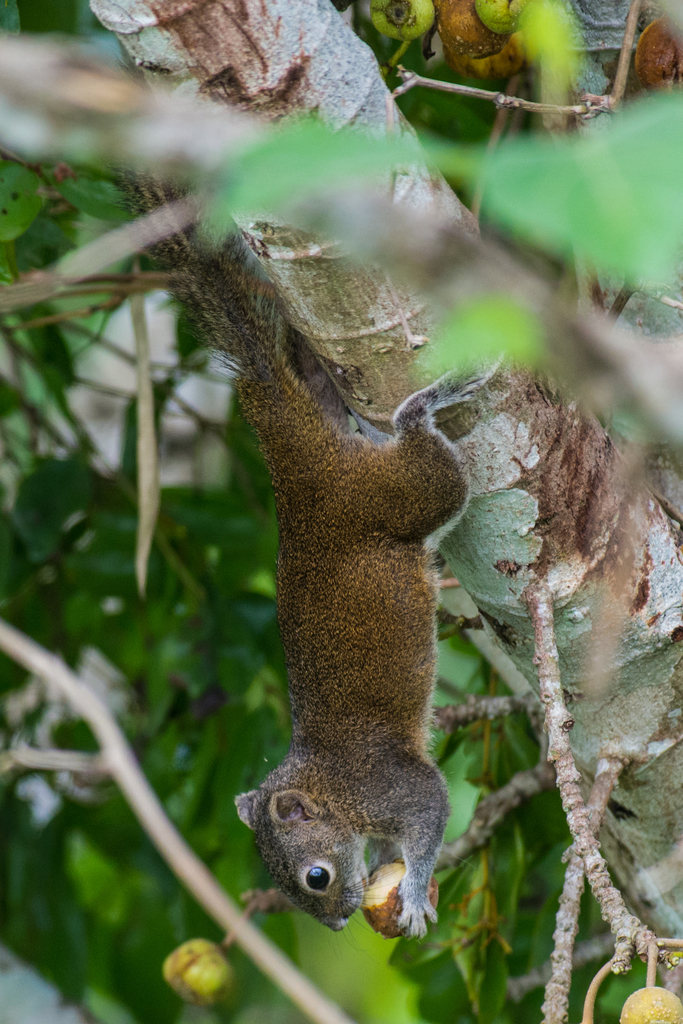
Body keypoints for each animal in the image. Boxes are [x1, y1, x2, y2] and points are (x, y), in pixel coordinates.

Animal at [126, 177, 492, 939]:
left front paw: (414, 892)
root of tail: (300, 478)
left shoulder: (391, 785)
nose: (338, 923)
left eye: (313, 877)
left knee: (421, 446)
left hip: (405, 492)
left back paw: (431, 398)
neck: (329, 787)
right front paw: (399, 879)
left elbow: (429, 810)